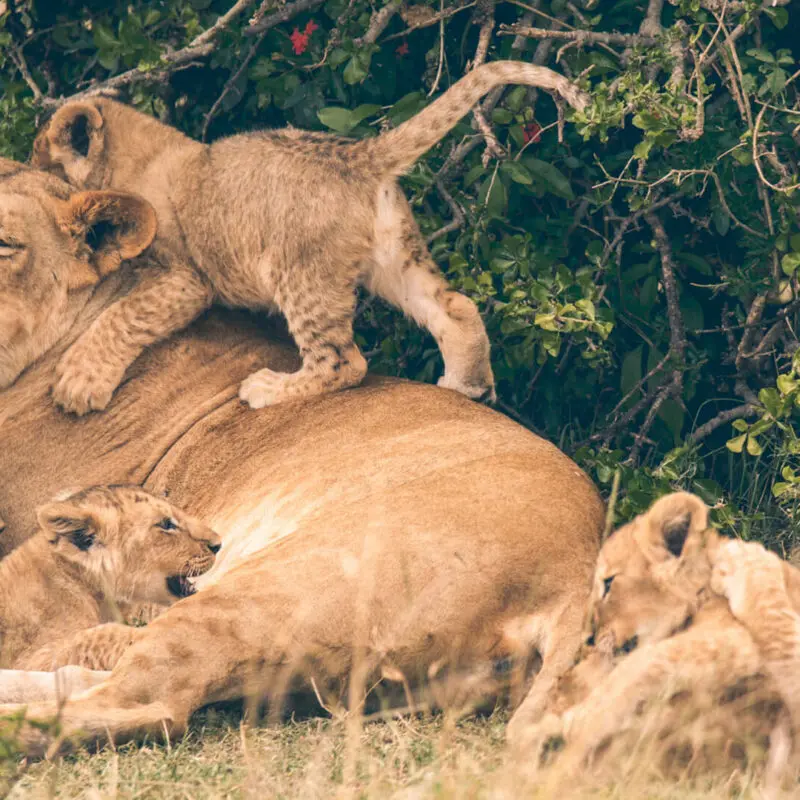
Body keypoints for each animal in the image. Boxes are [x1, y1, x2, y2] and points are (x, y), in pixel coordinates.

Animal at [31, 62, 587, 413]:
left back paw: (269, 389)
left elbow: (122, 316)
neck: (132, 158)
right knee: (457, 307)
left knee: (344, 362)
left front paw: (79, 382)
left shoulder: (185, 277)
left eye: (39, 160)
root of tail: (359, 154)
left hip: (301, 273)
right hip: (394, 257)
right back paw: (466, 385)